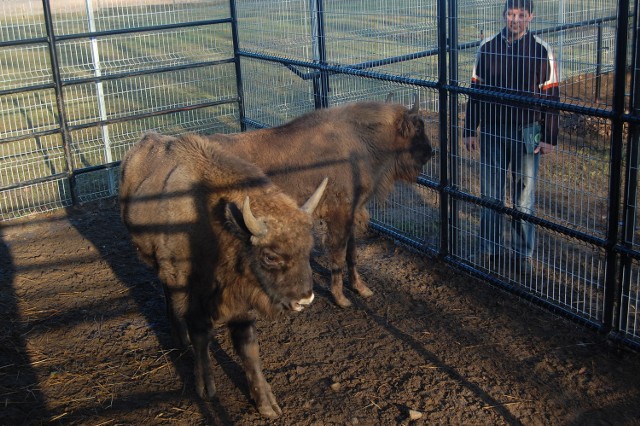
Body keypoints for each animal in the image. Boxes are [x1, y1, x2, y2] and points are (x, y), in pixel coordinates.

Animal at [119, 131, 328, 418]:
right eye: (270, 256)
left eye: (309, 247)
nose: (305, 299)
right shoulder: (192, 293)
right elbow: (201, 336)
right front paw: (206, 388)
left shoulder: (241, 301)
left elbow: (248, 347)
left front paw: (267, 403)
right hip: (161, 267)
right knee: (168, 296)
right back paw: (180, 338)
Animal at [205, 98, 436, 308]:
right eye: (418, 126)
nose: (429, 152)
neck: (361, 141)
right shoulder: (339, 216)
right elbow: (339, 254)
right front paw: (341, 298)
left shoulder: (351, 213)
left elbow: (352, 253)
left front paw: (361, 289)